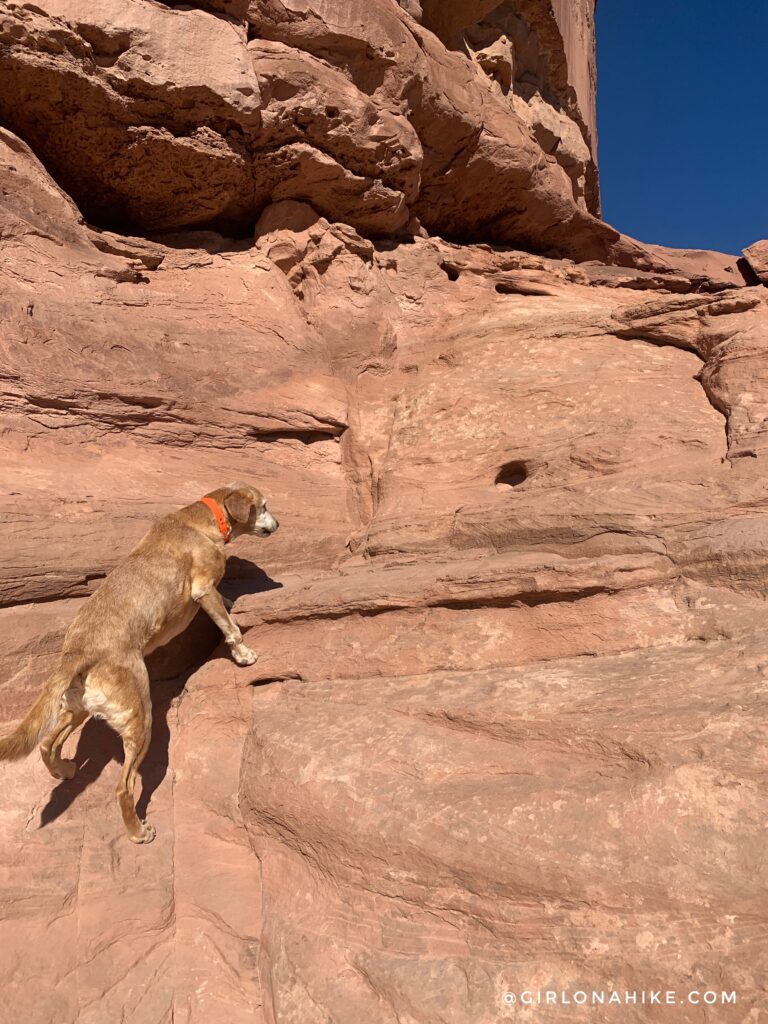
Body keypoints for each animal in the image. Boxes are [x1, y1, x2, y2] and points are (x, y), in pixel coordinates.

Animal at [0, 483, 280, 843]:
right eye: (264, 506)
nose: (278, 524)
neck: (204, 517)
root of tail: (77, 650)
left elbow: (223, 607)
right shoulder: (203, 589)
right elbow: (229, 627)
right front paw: (243, 654)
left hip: (77, 707)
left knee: (48, 743)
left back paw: (63, 770)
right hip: (140, 718)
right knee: (124, 787)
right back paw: (137, 831)